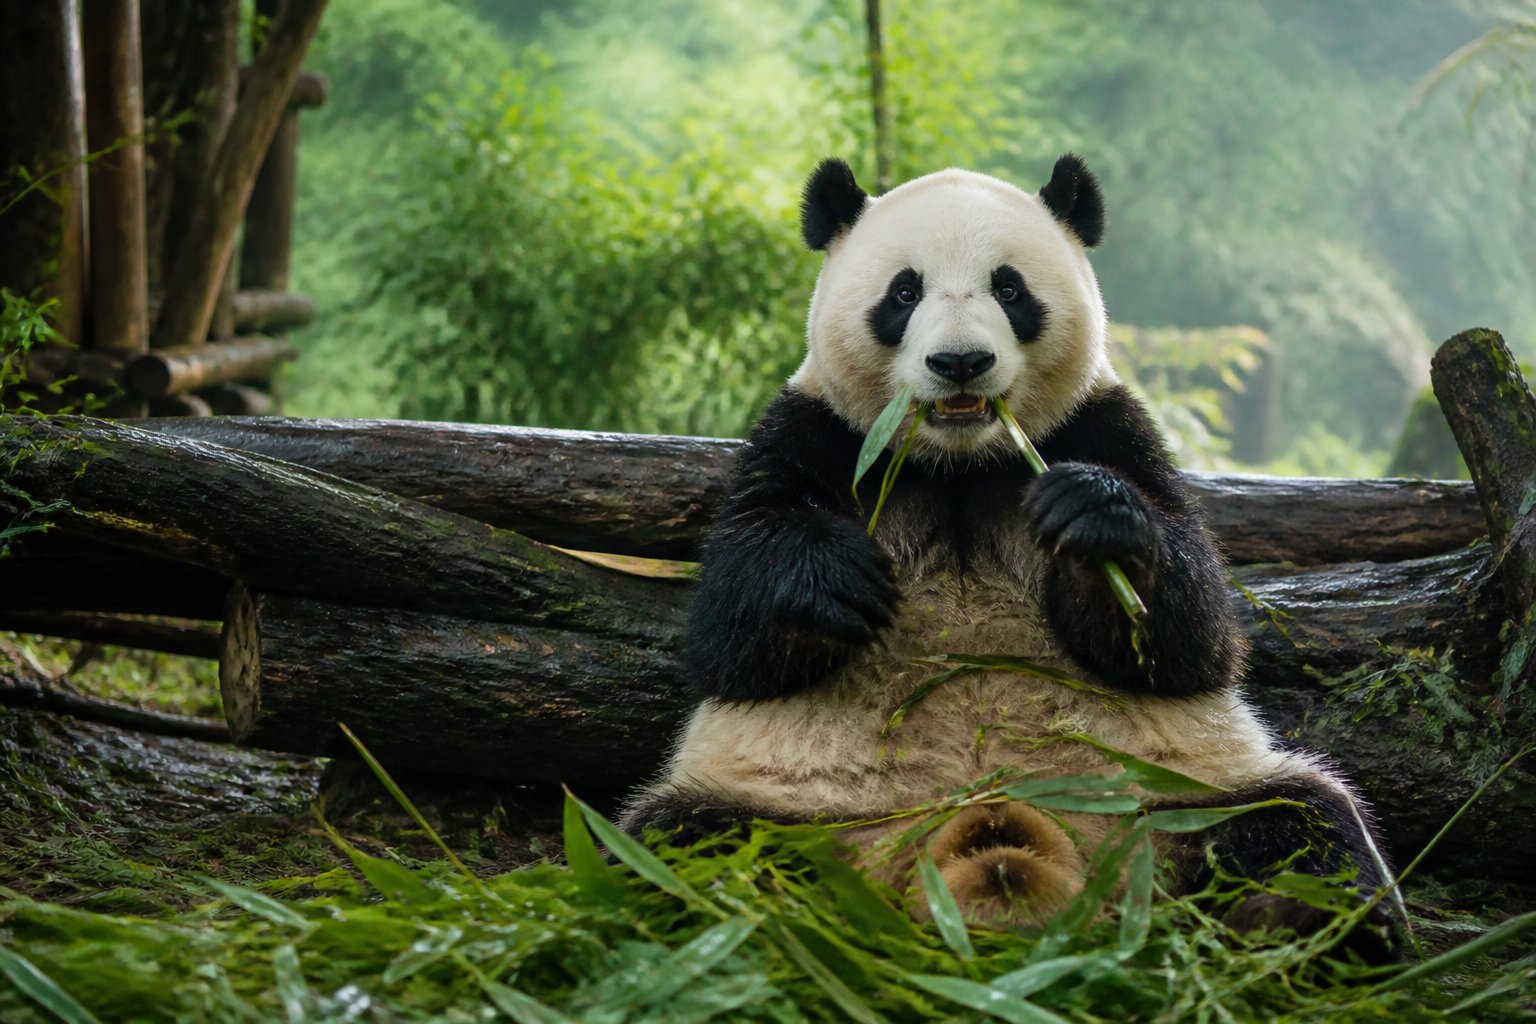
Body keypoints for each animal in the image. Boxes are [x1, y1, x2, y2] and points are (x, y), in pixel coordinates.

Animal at [621, 155, 1397, 952]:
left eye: (1010, 289)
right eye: (905, 292)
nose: (960, 362)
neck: (960, 465)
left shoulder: (1102, 427)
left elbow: (1194, 637)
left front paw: (1093, 520)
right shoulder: (814, 436)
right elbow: (729, 634)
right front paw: (836, 580)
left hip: (1180, 797)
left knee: (1301, 823)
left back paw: (1296, 918)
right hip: (790, 806)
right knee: (679, 848)